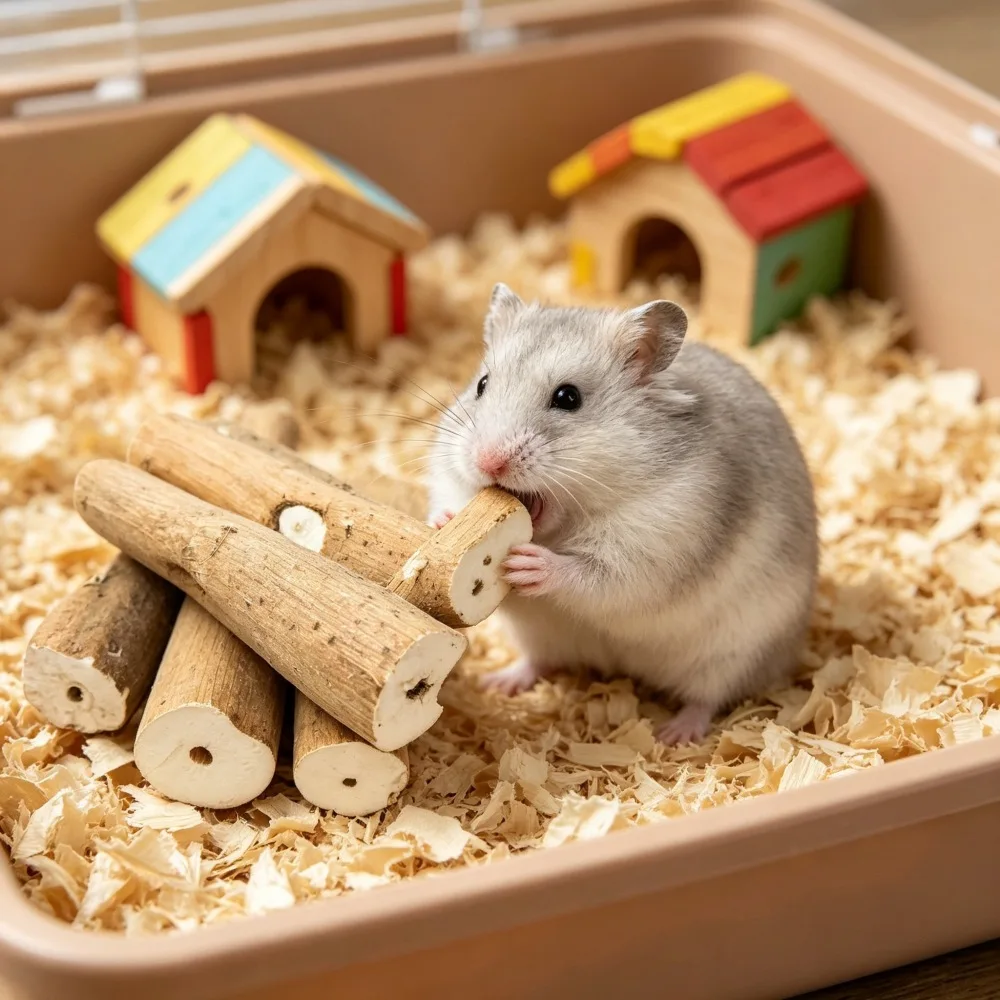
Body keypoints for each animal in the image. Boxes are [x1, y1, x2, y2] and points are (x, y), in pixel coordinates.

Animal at [426, 283, 818, 745]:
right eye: (482, 385)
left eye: (568, 398)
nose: (488, 461)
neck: (564, 525)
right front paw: (443, 522)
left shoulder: (656, 544)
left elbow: (597, 577)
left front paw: (529, 565)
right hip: (537, 635)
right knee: (540, 662)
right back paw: (500, 683)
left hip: (734, 652)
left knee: (707, 698)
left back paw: (674, 735)